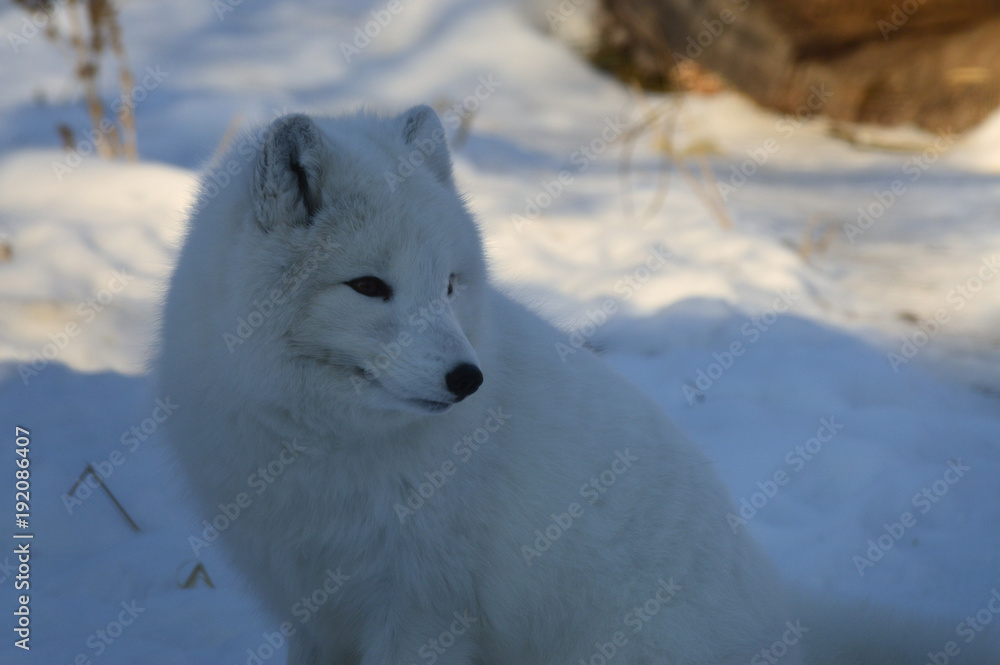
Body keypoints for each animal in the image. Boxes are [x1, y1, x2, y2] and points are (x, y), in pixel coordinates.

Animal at [158, 106, 997, 665]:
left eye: (451, 283)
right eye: (369, 286)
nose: (468, 378)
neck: (318, 444)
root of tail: (786, 623)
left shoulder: (422, 617)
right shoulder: (309, 611)